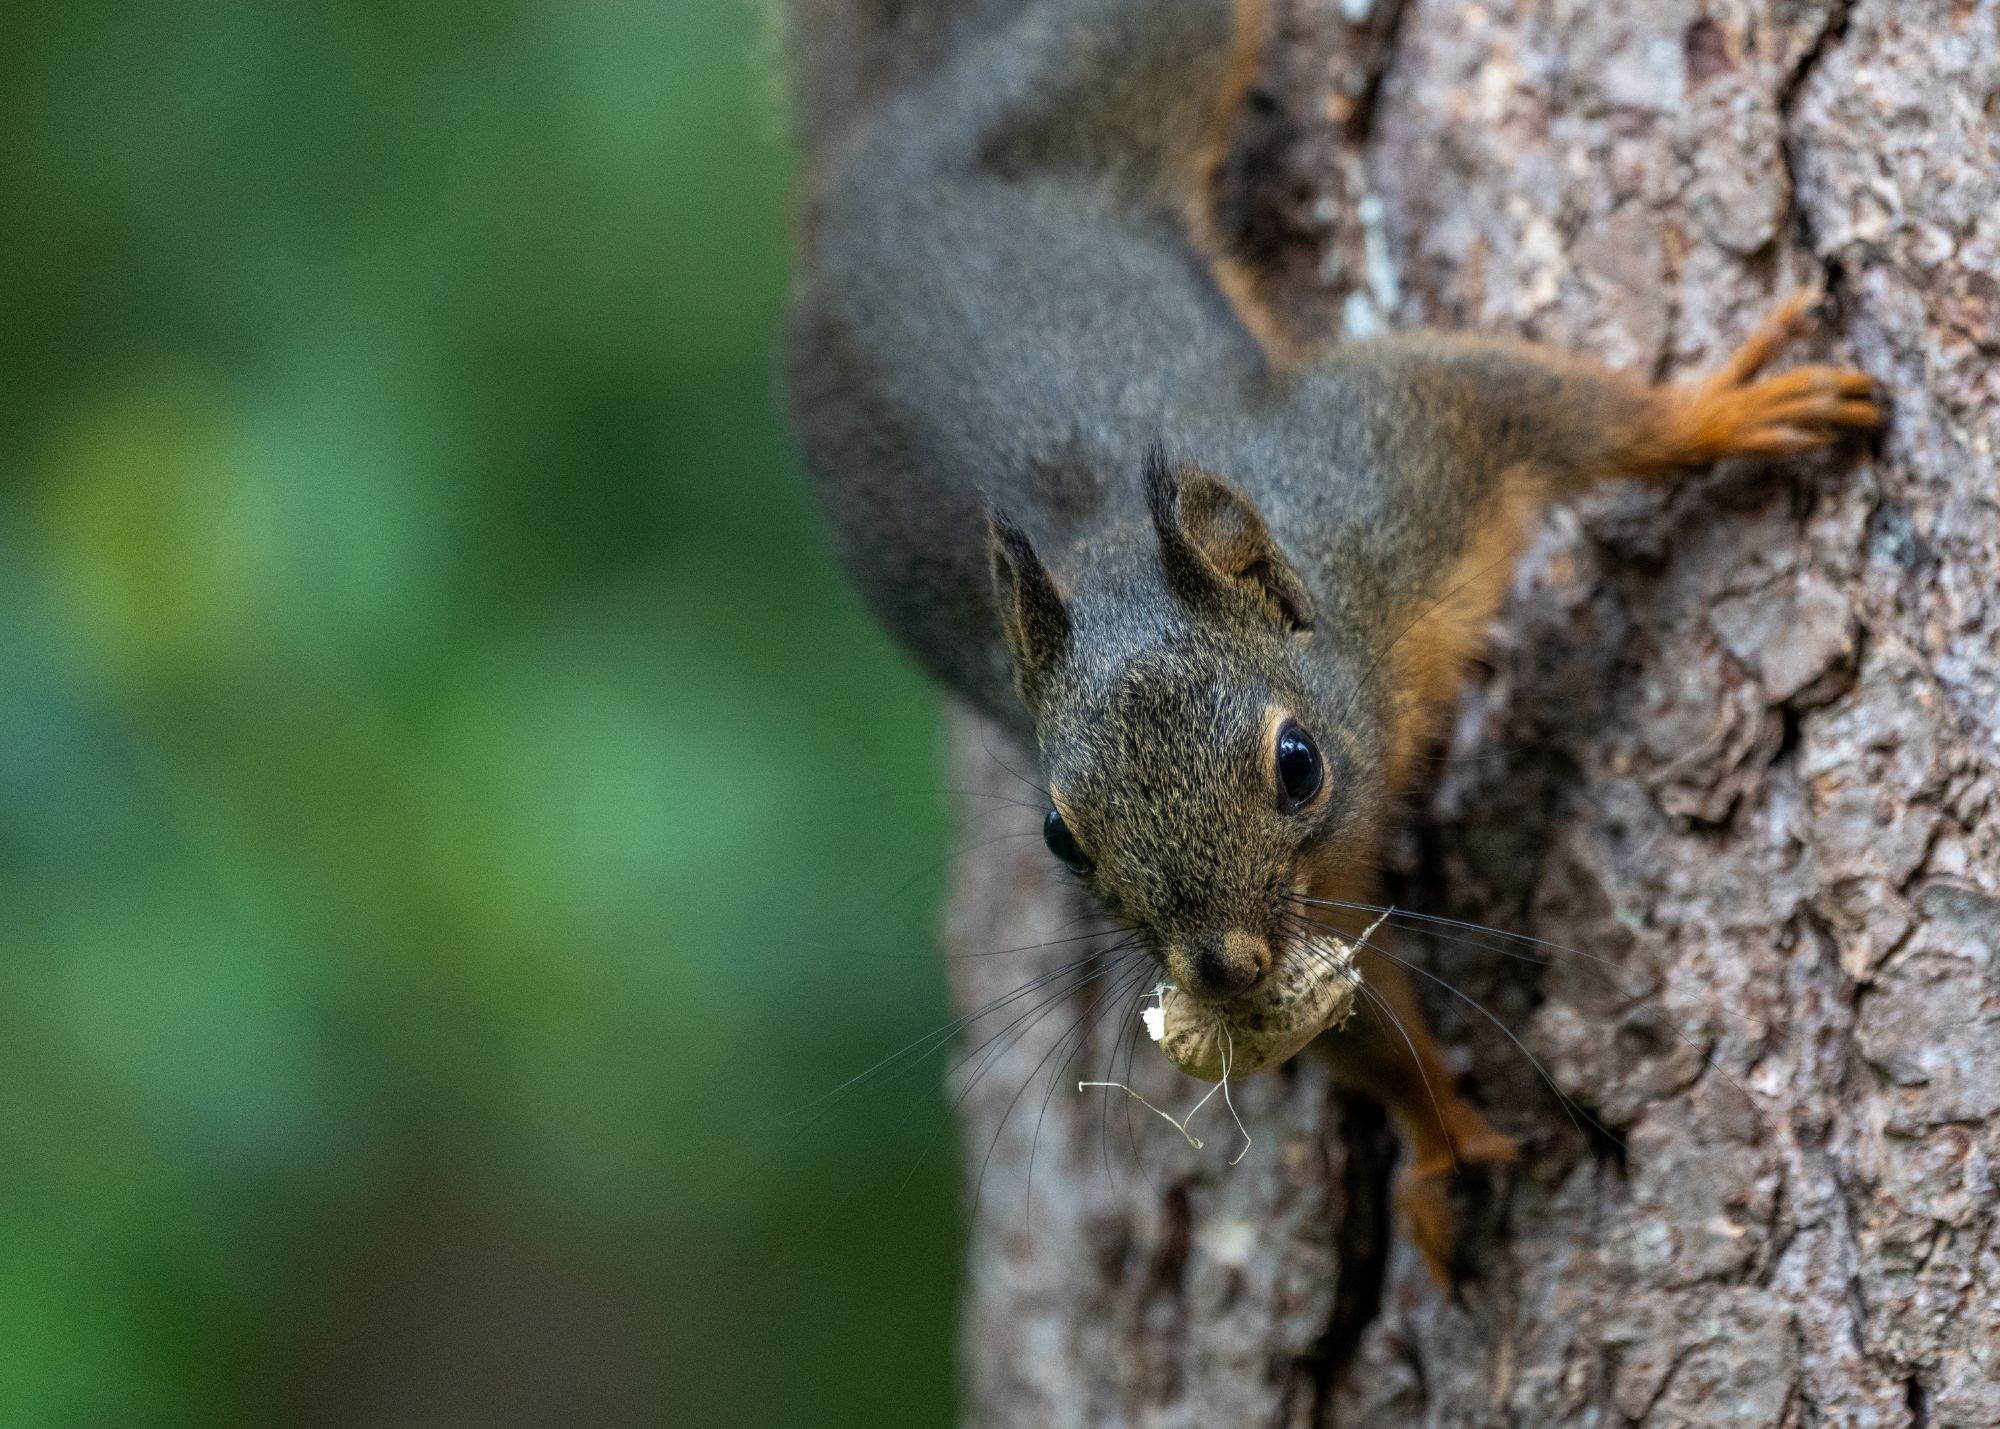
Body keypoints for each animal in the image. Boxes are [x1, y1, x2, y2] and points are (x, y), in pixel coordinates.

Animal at [780, 0, 1882, 1281]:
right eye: (1060, 836)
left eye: (1295, 763)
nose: (1221, 968)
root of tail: (860, 169)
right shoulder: (1324, 911)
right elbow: (1367, 1024)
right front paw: (1436, 1139)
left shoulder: (1396, 457)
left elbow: (1537, 403)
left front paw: (1718, 409)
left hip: (1097, 63)